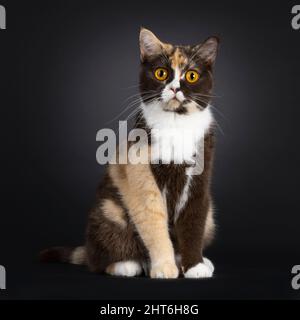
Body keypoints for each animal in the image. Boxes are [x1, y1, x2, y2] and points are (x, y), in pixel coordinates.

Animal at [39, 27, 219, 278]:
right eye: (161, 73)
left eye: (191, 76)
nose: (175, 88)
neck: (175, 123)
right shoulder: (141, 175)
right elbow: (154, 222)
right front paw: (164, 267)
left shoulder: (199, 182)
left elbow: (194, 223)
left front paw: (194, 266)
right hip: (108, 213)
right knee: (100, 259)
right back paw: (128, 264)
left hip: (211, 216)